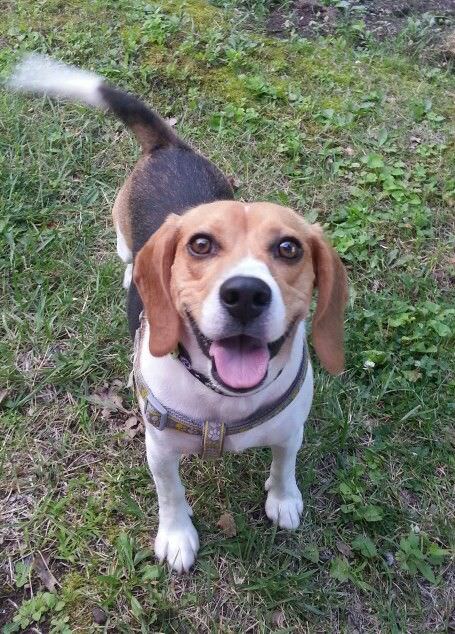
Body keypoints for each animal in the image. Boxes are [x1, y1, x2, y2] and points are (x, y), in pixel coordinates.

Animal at [9, 55, 350, 572]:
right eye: (201, 244)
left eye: (289, 248)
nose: (245, 294)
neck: (222, 403)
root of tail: (168, 145)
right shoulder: (161, 447)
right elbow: (170, 493)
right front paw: (176, 536)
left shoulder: (291, 428)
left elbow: (284, 463)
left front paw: (284, 499)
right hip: (121, 229)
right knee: (126, 254)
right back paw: (130, 274)